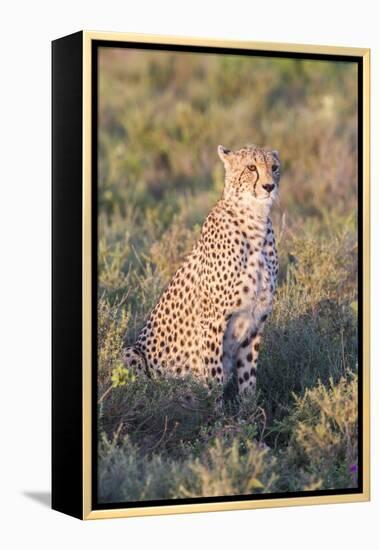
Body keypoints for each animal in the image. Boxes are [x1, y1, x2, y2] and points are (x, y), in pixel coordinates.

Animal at [123, 144, 280, 398]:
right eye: (251, 167)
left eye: (274, 167)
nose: (269, 186)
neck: (255, 221)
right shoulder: (213, 321)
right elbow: (214, 379)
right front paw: (214, 409)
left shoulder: (256, 321)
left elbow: (248, 381)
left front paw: (250, 410)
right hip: (131, 353)